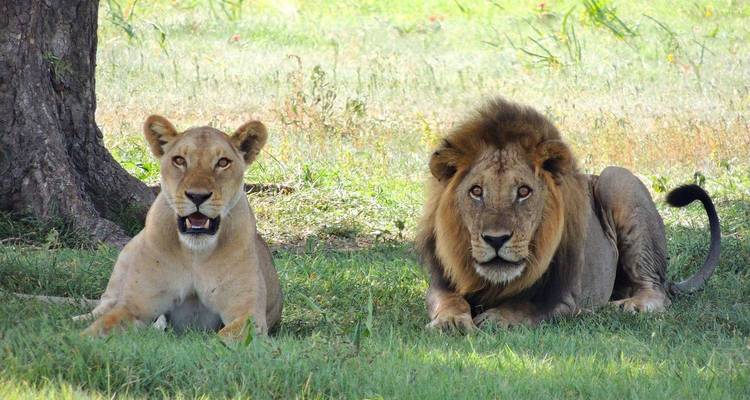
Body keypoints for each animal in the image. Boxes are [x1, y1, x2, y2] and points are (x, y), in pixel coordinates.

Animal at [82, 115, 282, 340]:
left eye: (223, 162)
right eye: (179, 160)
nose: (197, 196)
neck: (195, 253)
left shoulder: (248, 315)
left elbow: (224, 338)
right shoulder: (135, 307)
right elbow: (97, 329)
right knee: (102, 306)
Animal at [417, 98, 721, 331]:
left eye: (524, 191)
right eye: (476, 191)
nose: (496, 239)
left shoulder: (566, 297)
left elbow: (526, 306)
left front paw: (496, 318)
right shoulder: (441, 283)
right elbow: (450, 301)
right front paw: (450, 322)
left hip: (616, 179)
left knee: (656, 291)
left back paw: (627, 306)